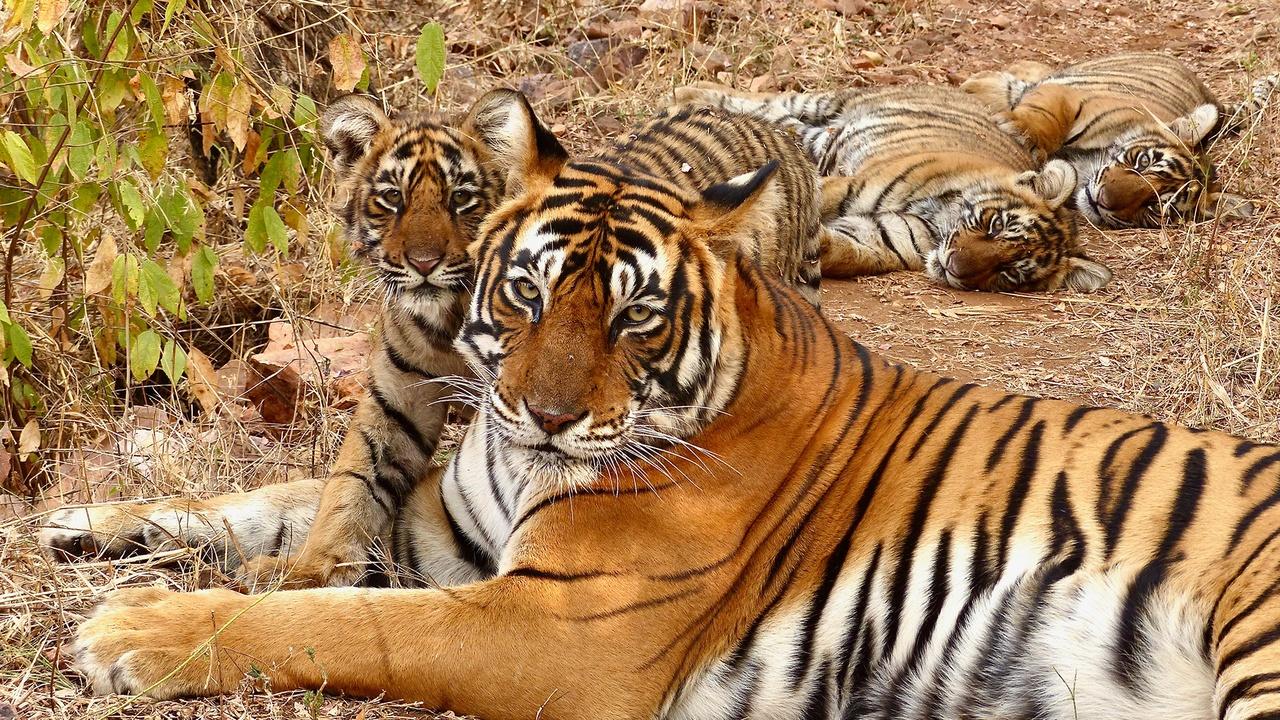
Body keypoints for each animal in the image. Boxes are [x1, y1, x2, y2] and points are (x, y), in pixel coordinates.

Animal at [39, 90, 827, 588]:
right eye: (390, 200)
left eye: (460, 199)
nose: (420, 262)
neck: (450, 324)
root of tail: (770, 129)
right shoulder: (398, 395)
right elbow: (346, 488)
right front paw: (314, 570)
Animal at [675, 82, 1112, 293]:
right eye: (994, 226)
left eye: (1009, 272)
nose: (955, 266)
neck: (937, 220)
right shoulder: (847, 185)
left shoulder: (885, 236)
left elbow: (848, 251)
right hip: (829, 104)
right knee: (772, 102)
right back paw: (686, 96)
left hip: (818, 137)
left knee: (787, 124)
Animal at [960, 52, 1278, 228]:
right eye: (1143, 161)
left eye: (1156, 206)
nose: (1103, 200)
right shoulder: (1072, 97)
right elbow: (1047, 116)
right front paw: (1016, 128)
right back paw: (977, 83)